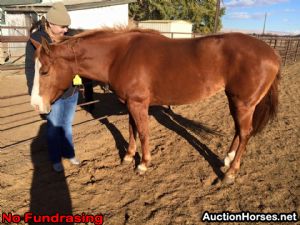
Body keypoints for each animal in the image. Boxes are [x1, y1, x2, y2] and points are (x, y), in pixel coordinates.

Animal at [29, 28, 280, 183]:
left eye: (45, 71)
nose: (36, 105)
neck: (119, 56)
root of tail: (273, 54)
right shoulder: (129, 103)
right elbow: (132, 130)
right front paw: (128, 157)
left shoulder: (139, 104)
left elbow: (143, 132)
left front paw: (143, 164)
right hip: (236, 101)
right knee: (239, 131)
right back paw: (227, 158)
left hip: (243, 103)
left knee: (245, 132)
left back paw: (230, 173)